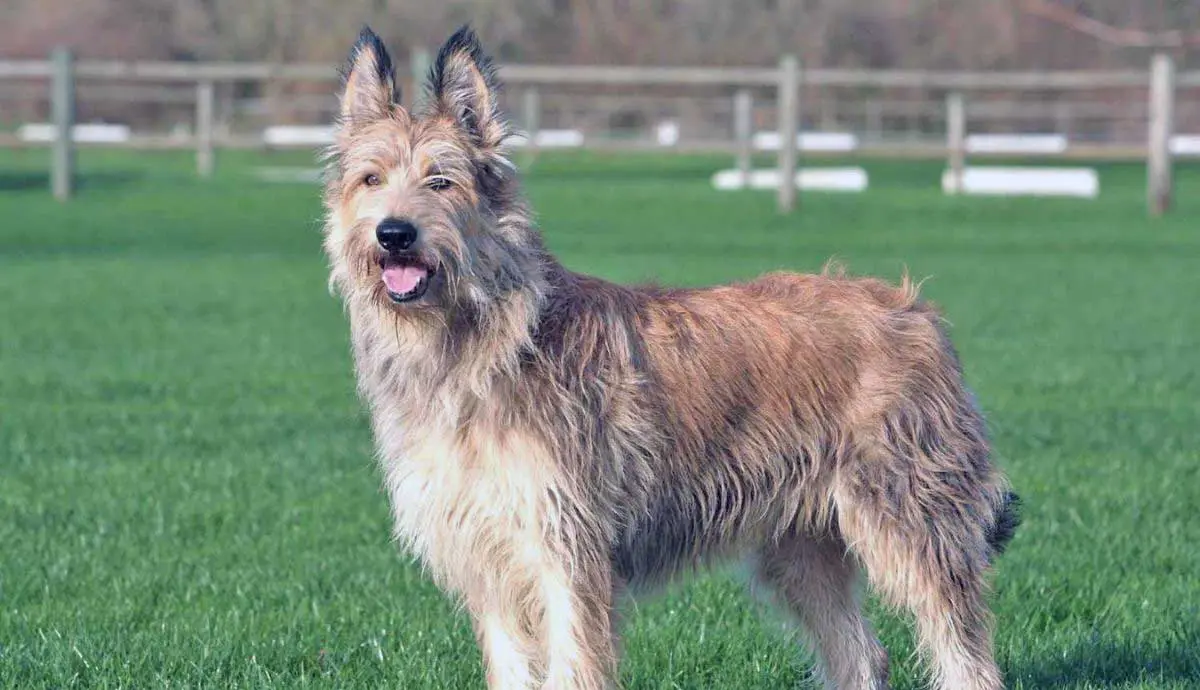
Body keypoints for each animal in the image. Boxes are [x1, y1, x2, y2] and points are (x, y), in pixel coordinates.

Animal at [321, 24, 1022, 686]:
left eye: (441, 180)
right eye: (371, 178)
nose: (393, 234)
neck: (479, 340)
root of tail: (915, 310)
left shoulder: (566, 551)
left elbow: (575, 666)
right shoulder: (488, 561)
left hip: (912, 521)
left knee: (965, 657)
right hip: (802, 548)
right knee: (861, 657)